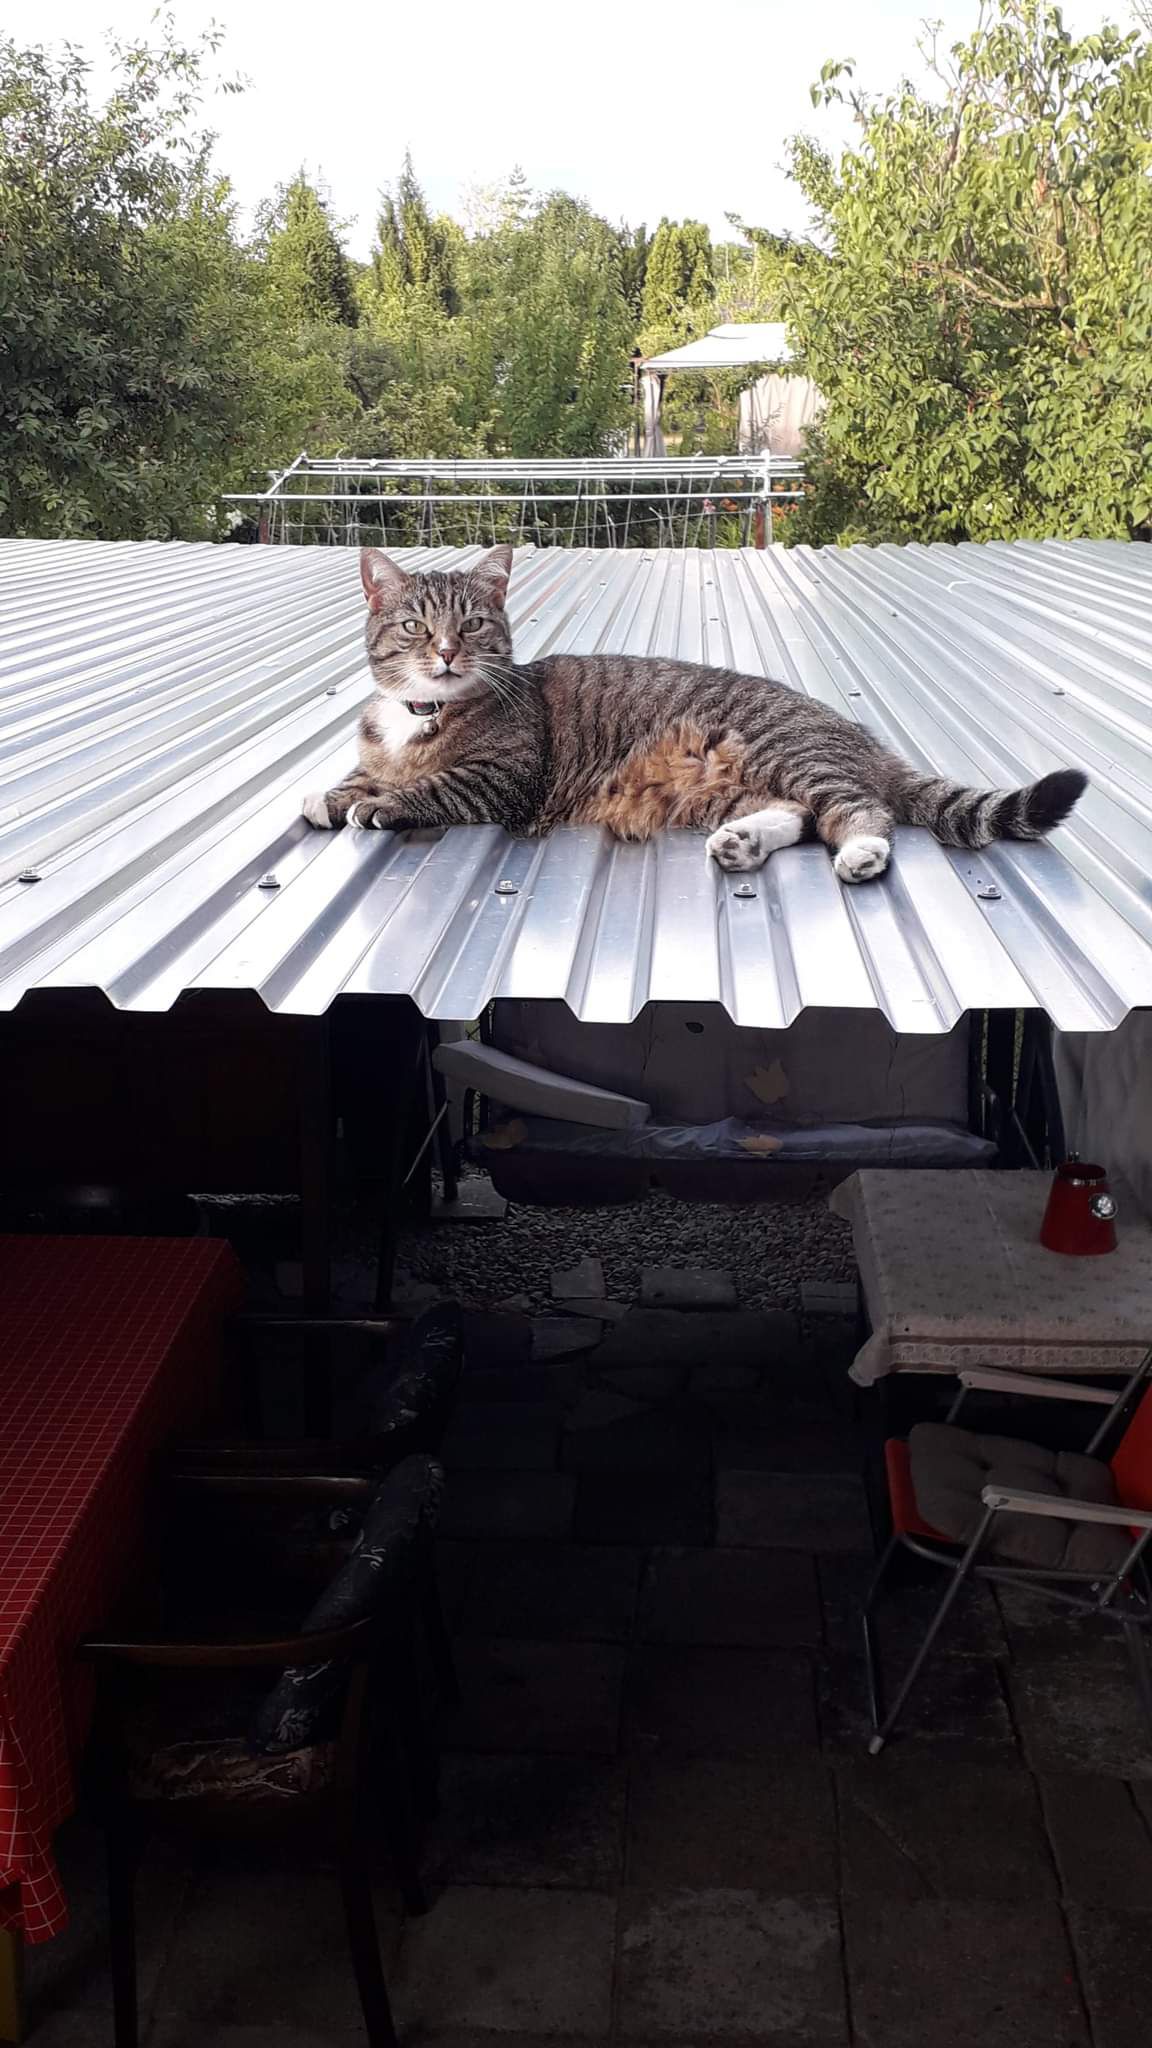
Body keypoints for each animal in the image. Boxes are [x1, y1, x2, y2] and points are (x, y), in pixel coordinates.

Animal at [302, 545, 1087, 882]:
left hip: (783, 751)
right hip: (735, 784)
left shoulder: (501, 778)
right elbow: (357, 774)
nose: (444, 653)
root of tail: (856, 735)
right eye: (413, 626)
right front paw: (329, 794)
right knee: (802, 816)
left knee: (858, 810)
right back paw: (744, 844)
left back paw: (862, 853)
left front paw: (380, 804)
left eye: (470, 625)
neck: (422, 711)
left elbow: (428, 786)